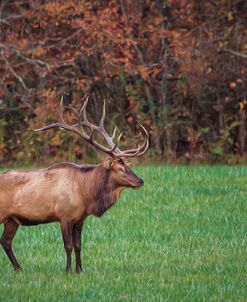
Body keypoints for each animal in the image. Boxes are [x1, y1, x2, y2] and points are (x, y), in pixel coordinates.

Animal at [0, 95, 148, 272]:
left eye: (128, 166)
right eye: (120, 168)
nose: (140, 181)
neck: (85, 193)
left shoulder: (80, 219)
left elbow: (78, 245)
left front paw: (80, 270)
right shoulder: (64, 216)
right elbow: (68, 245)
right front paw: (68, 270)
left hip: (12, 219)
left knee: (6, 241)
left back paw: (19, 269)